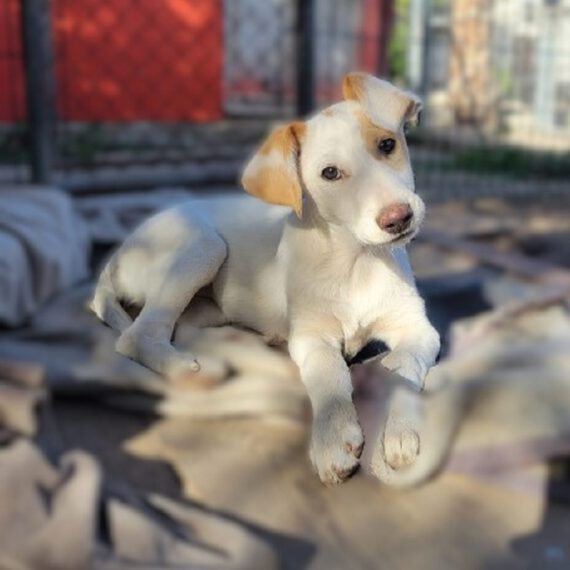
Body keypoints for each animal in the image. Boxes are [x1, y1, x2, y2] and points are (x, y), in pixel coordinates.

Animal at [91, 73, 440, 485]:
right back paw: (186, 371)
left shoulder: (418, 329)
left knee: (180, 327)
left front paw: (402, 430)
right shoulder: (311, 336)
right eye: (330, 173)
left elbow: (402, 367)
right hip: (203, 245)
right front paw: (333, 438)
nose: (398, 218)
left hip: (208, 306)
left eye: (387, 145)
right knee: (136, 335)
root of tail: (116, 256)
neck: (358, 261)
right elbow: (330, 375)